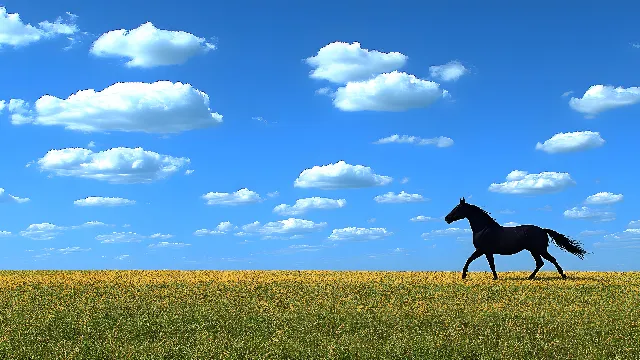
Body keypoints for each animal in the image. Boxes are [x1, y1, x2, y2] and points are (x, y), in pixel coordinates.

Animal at [442, 198, 588, 280]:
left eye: (457, 208)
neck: (483, 228)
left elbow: (472, 261)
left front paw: (464, 276)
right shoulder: (486, 251)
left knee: (550, 260)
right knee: (540, 263)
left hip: (538, 250)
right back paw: (530, 277)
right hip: (534, 251)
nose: (447, 218)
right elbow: (489, 264)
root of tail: (542, 230)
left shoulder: (482, 250)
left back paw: (562, 276)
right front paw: (495, 278)